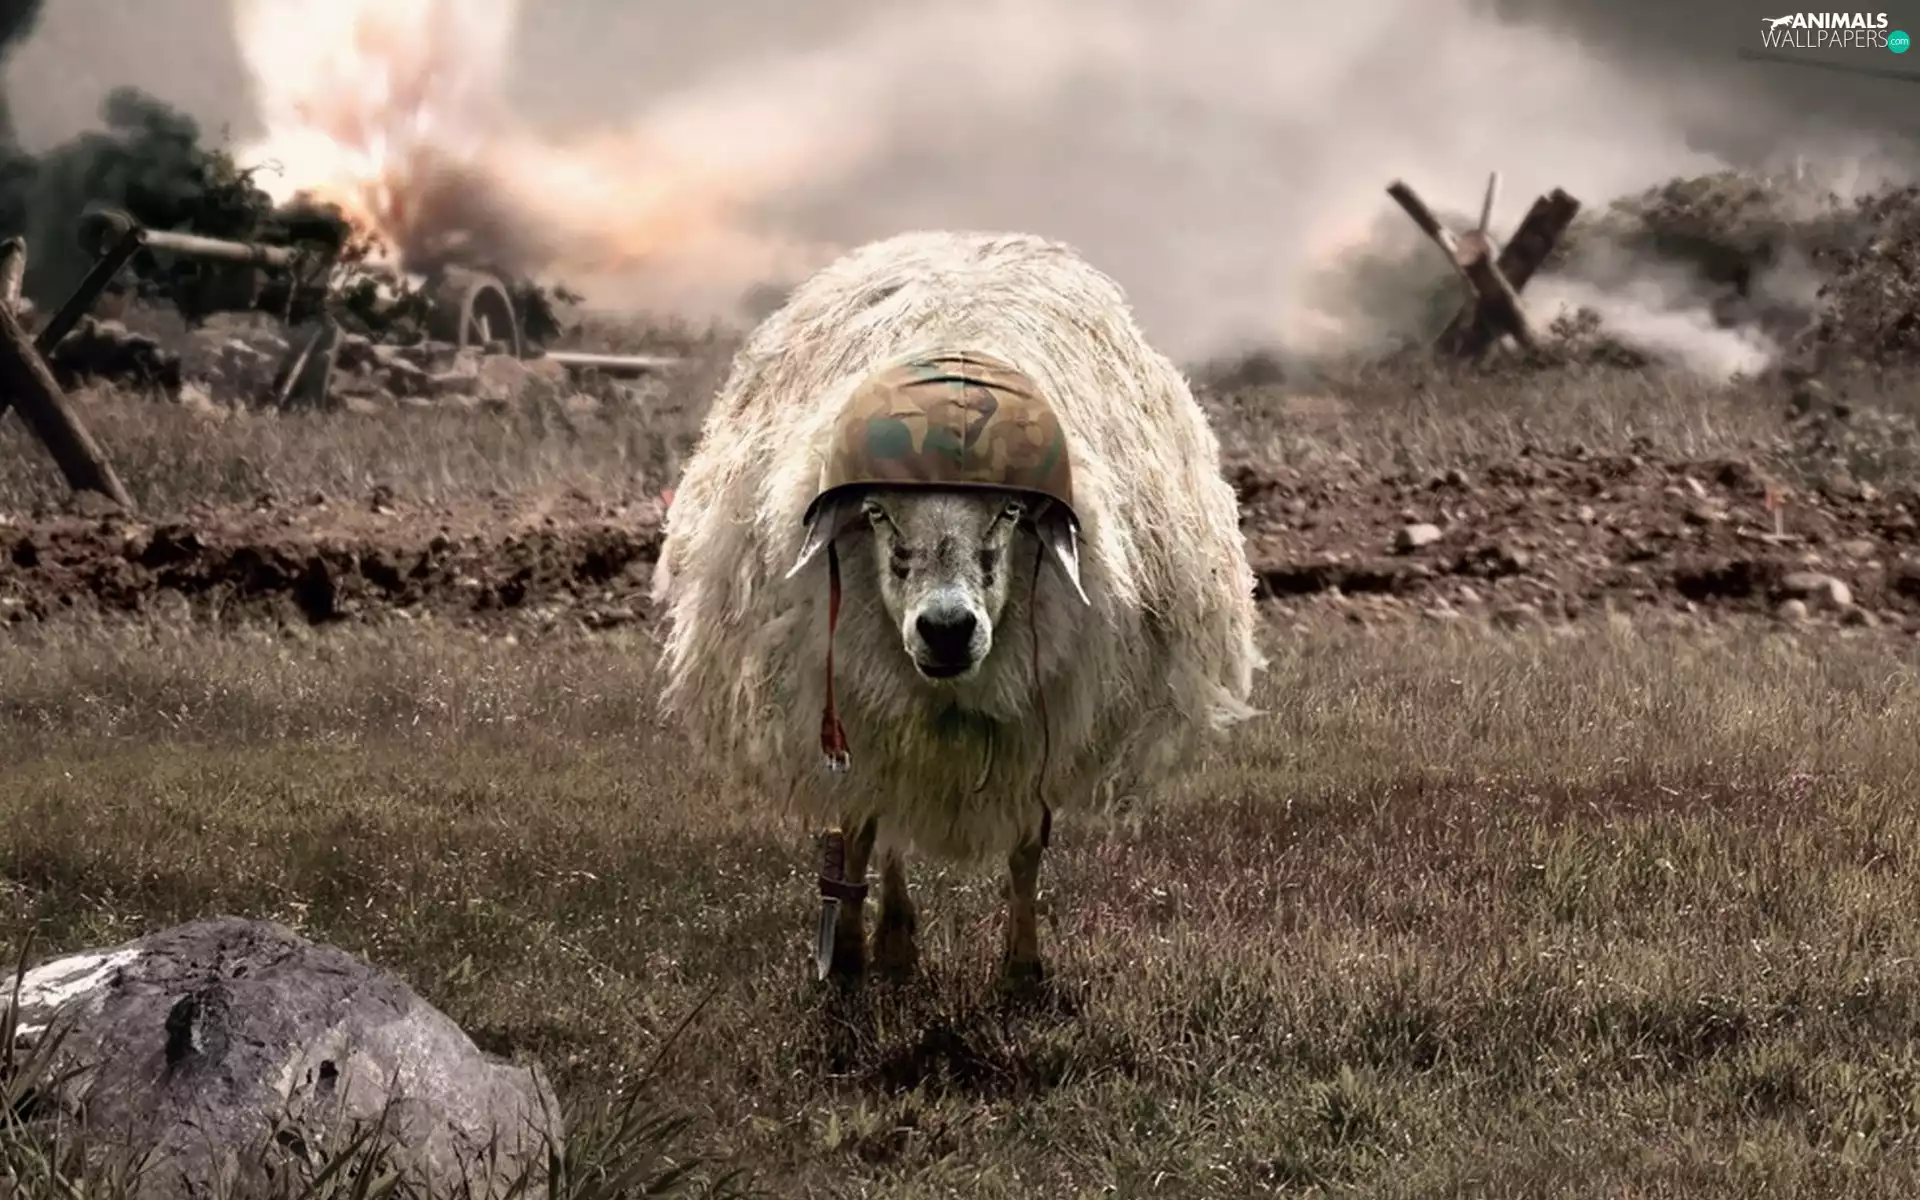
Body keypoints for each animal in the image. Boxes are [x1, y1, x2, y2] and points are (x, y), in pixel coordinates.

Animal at [651, 229, 1263, 987]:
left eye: (1009, 511)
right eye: (877, 513)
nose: (946, 630)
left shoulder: (1040, 716)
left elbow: (1027, 849)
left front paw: (1023, 969)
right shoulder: (857, 704)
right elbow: (860, 828)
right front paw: (850, 955)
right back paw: (891, 940)